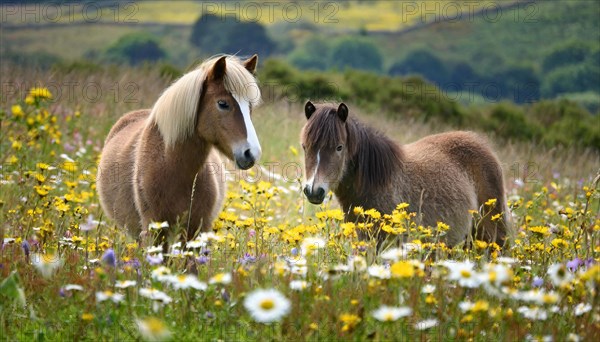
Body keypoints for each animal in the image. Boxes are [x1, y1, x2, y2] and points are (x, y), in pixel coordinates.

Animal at [96, 54, 260, 240]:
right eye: (223, 103)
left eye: (250, 106)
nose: (251, 153)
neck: (172, 167)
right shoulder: (153, 231)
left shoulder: (197, 231)